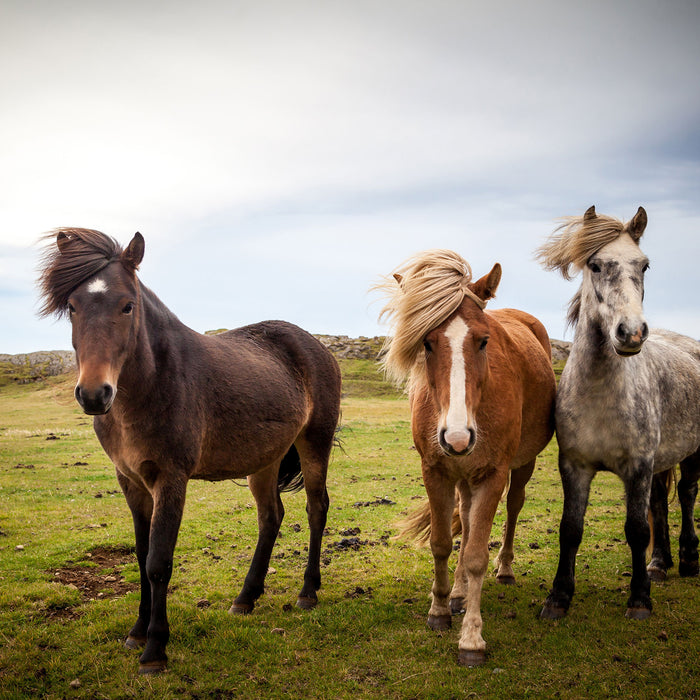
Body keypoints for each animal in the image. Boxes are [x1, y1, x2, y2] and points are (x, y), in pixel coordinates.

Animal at [37, 230, 342, 672]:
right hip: (264, 460)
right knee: (271, 517)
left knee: (316, 509)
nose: (94, 394)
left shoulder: (170, 479)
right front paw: (136, 633)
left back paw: (308, 592)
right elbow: (141, 554)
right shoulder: (131, 481)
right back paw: (245, 598)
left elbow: (158, 562)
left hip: (314, 444)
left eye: (127, 305)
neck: (153, 386)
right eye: (72, 307)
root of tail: (315, 347)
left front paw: (154, 649)